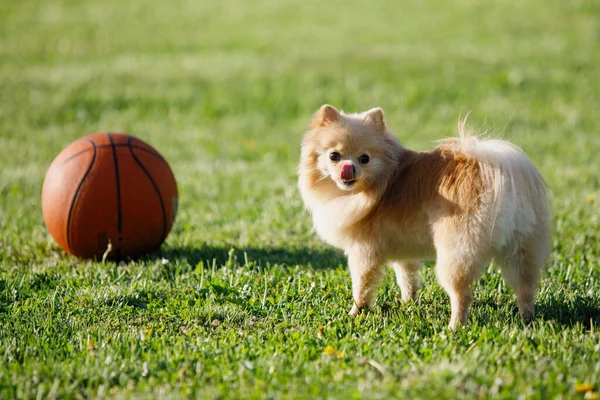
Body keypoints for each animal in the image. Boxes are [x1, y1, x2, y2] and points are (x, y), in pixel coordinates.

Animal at [298, 104, 552, 330]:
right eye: (334, 156)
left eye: (364, 159)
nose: (348, 169)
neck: (381, 182)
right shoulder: (401, 249)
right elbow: (407, 278)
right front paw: (408, 302)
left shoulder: (364, 252)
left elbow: (362, 286)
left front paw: (355, 312)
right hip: (522, 247)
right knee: (526, 287)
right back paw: (527, 318)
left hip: (457, 251)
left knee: (462, 294)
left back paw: (454, 326)